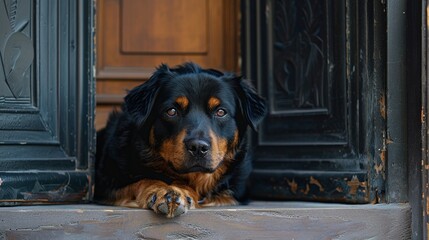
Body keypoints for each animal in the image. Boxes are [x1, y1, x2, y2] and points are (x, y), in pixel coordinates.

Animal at [95, 62, 266, 218]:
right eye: (171, 111)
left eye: (221, 112)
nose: (198, 147)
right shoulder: (107, 183)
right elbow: (144, 180)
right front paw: (164, 190)